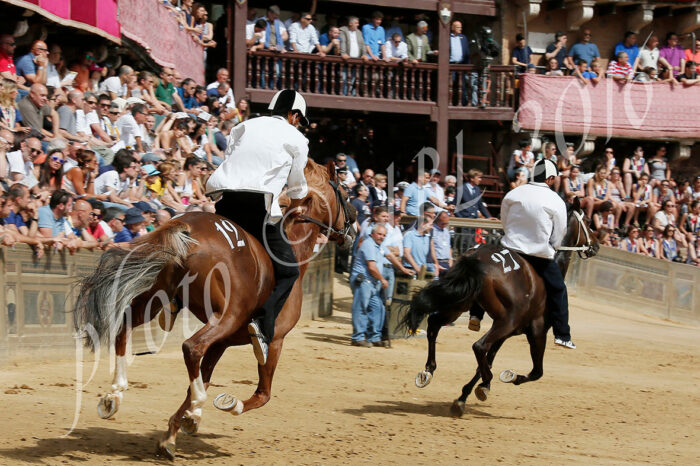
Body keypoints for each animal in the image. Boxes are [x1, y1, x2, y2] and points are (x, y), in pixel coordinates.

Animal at [73, 160, 356, 459]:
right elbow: (262, 394)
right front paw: (220, 406)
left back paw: (113, 396)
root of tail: (185, 226)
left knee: (125, 328)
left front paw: (174, 433)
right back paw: (193, 404)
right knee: (191, 347)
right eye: (344, 192)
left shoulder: (223, 342)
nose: (355, 220)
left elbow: (202, 378)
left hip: (158, 298)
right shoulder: (274, 341)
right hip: (228, 315)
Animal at [401, 196, 598, 416]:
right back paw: (487, 378)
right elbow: (536, 371)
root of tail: (477, 259)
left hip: (459, 305)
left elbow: (489, 358)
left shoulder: (507, 334)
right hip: (505, 320)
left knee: (435, 325)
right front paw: (505, 377)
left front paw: (464, 396)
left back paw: (428, 371)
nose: (596, 245)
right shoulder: (536, 332)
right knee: (479, 346)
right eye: (587, 222)